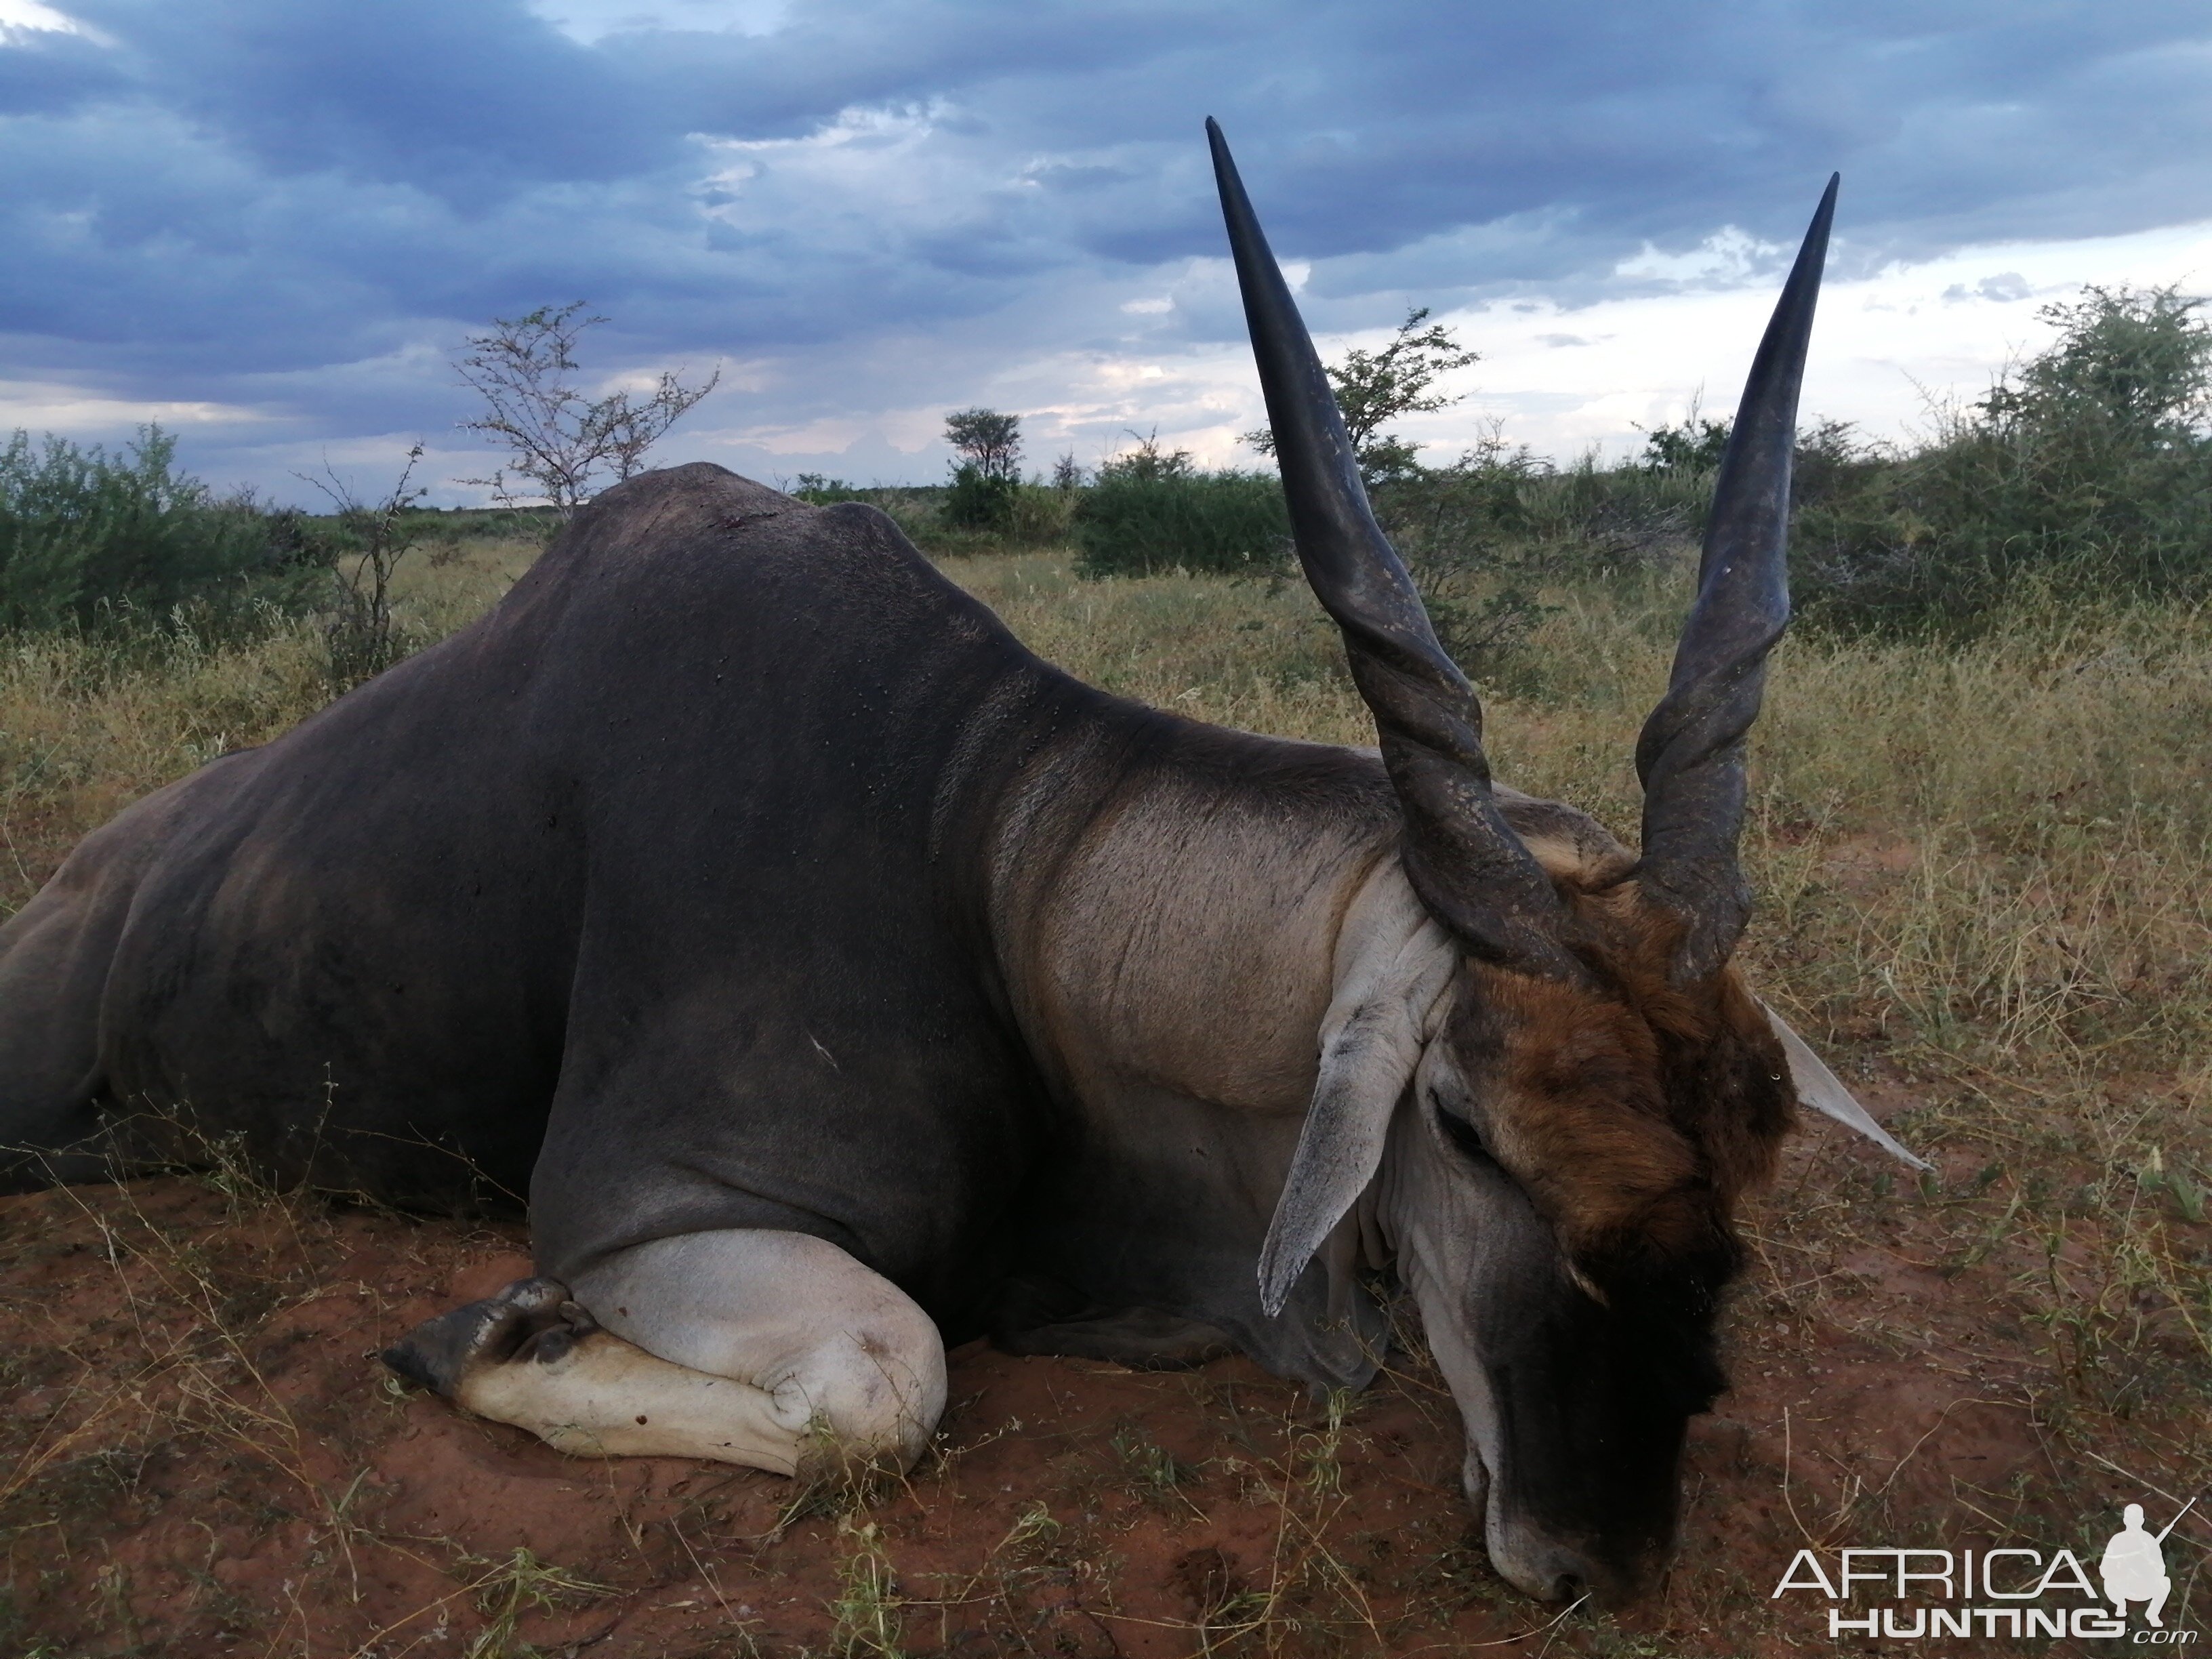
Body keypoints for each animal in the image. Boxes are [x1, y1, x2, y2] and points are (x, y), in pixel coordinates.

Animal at [0, 129, 1920, 1610]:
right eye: (1457, 1121)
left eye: (1757, 1136)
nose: (1601, 1555)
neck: (981, 850)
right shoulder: (651, 1210)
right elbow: (886, 1382)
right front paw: (490, 1331)